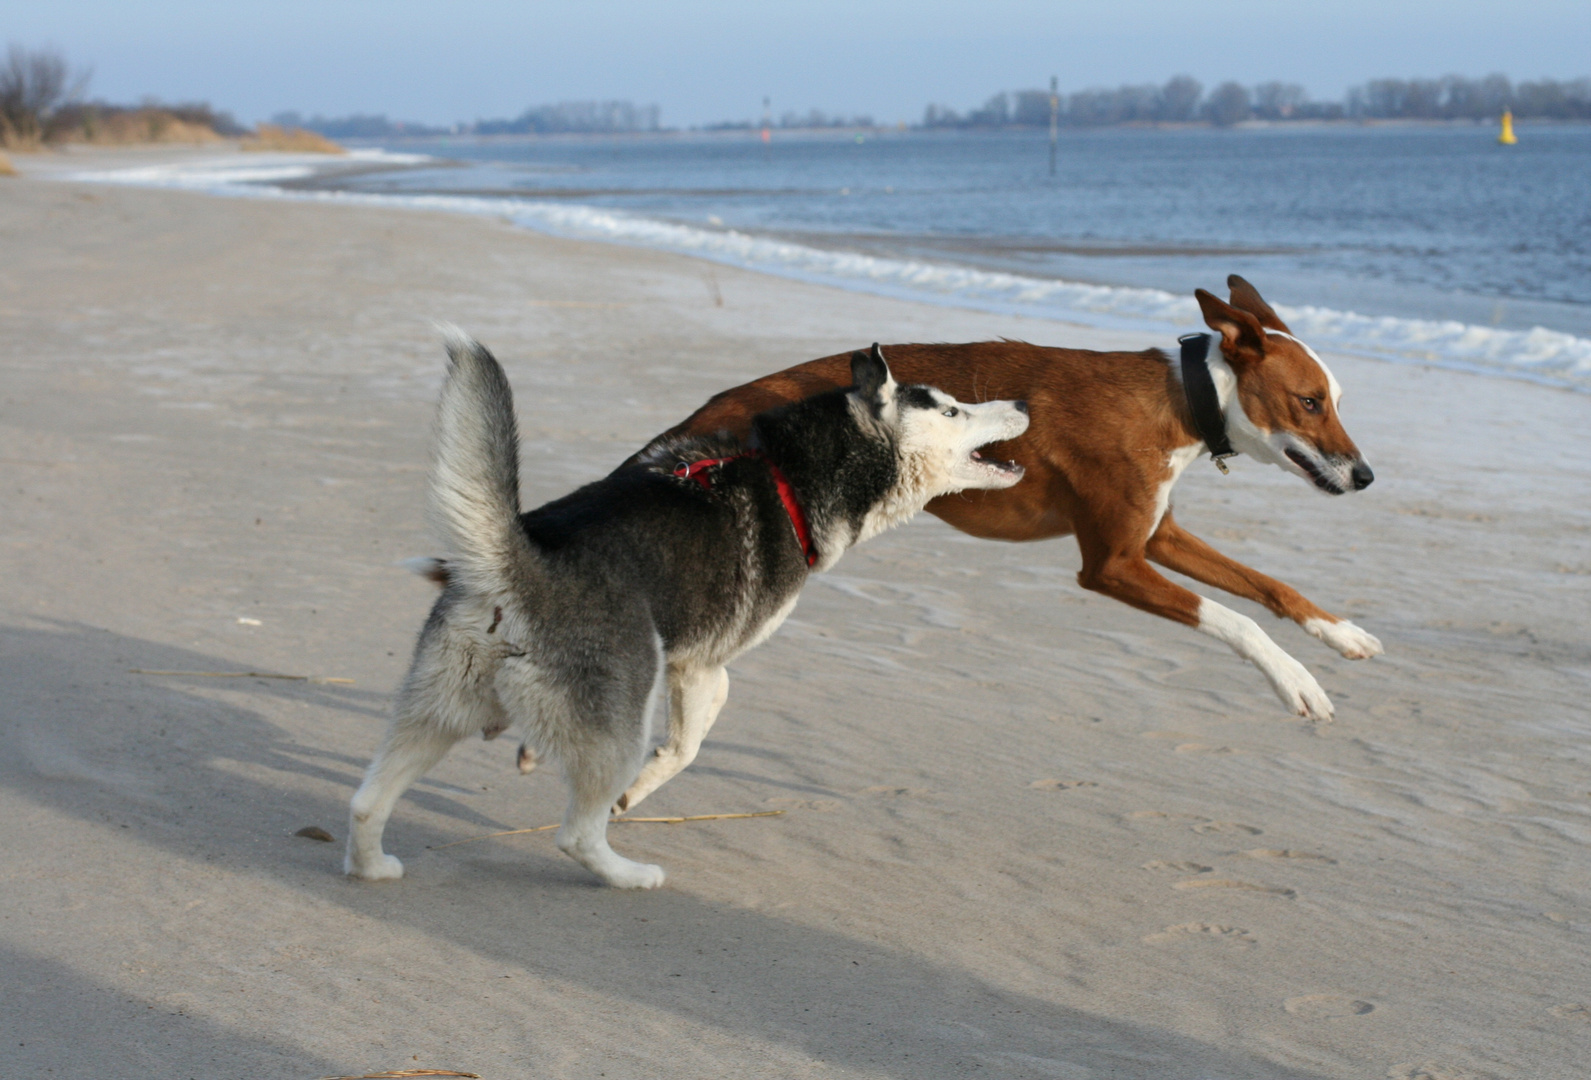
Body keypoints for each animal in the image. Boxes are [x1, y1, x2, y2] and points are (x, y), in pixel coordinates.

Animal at [345, 334, 1030, 890]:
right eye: (952, 410)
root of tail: (515, 564)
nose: (1023, 402)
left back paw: (371, 865)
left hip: (435, 712)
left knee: (366, 801)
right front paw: (636, 792)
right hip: (622, 703)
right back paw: (629, 873)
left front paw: (534, 755)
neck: (788, 476)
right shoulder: (702, 660)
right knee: (577, 834)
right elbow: (694, 736)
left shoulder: (685, 659)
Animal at [645, 276, 1380, 718]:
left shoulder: (1155, 536)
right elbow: (1237, 618)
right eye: (1309, 403)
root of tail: (711, 409)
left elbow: (1269, 586)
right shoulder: (1112, 564)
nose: (1366, 476)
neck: (1178, 401)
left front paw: (1339, 634)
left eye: (1335, 401)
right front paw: (1296, 681)